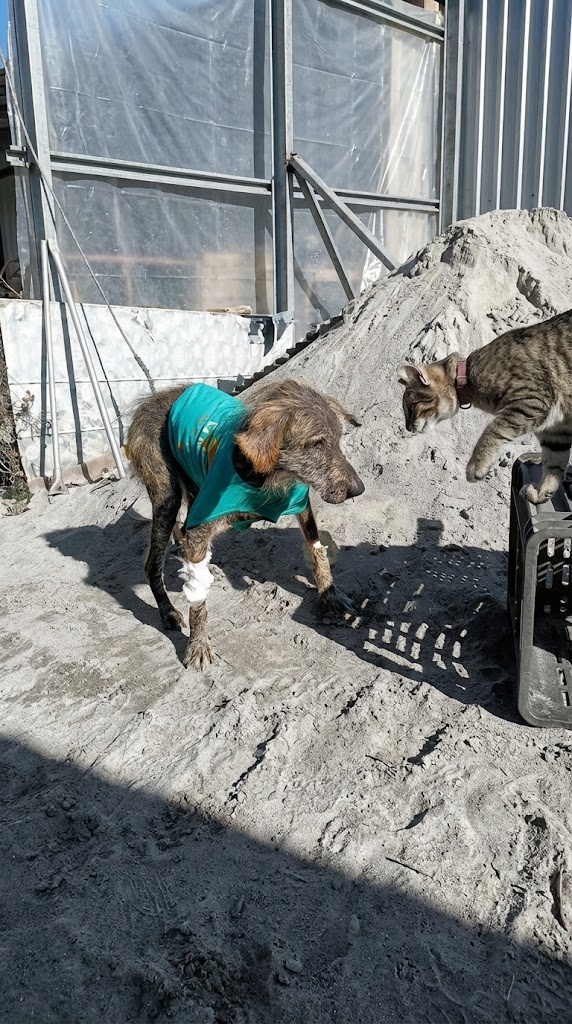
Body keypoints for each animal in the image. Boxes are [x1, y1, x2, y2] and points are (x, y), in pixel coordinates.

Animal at [125, 378, 365, 669]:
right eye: (315, 444)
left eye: (339, 439)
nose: (359, 489)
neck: (266, 476)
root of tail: (149, 400)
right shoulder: (204, 520)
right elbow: (198, 603)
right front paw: (198, 644)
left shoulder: (301, 502)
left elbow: (316, 547)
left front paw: (329, 593)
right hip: (167, 496)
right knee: (153, 563)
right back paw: (168, 611)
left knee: (182, 532)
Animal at [398, 308, 572, 505]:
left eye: (411, 409)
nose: (408, 428)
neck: (467, 376)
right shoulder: (555, 433)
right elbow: (554, 467)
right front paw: (541, 492)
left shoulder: (531, 400)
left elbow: (493, 430)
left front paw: (476, 466)